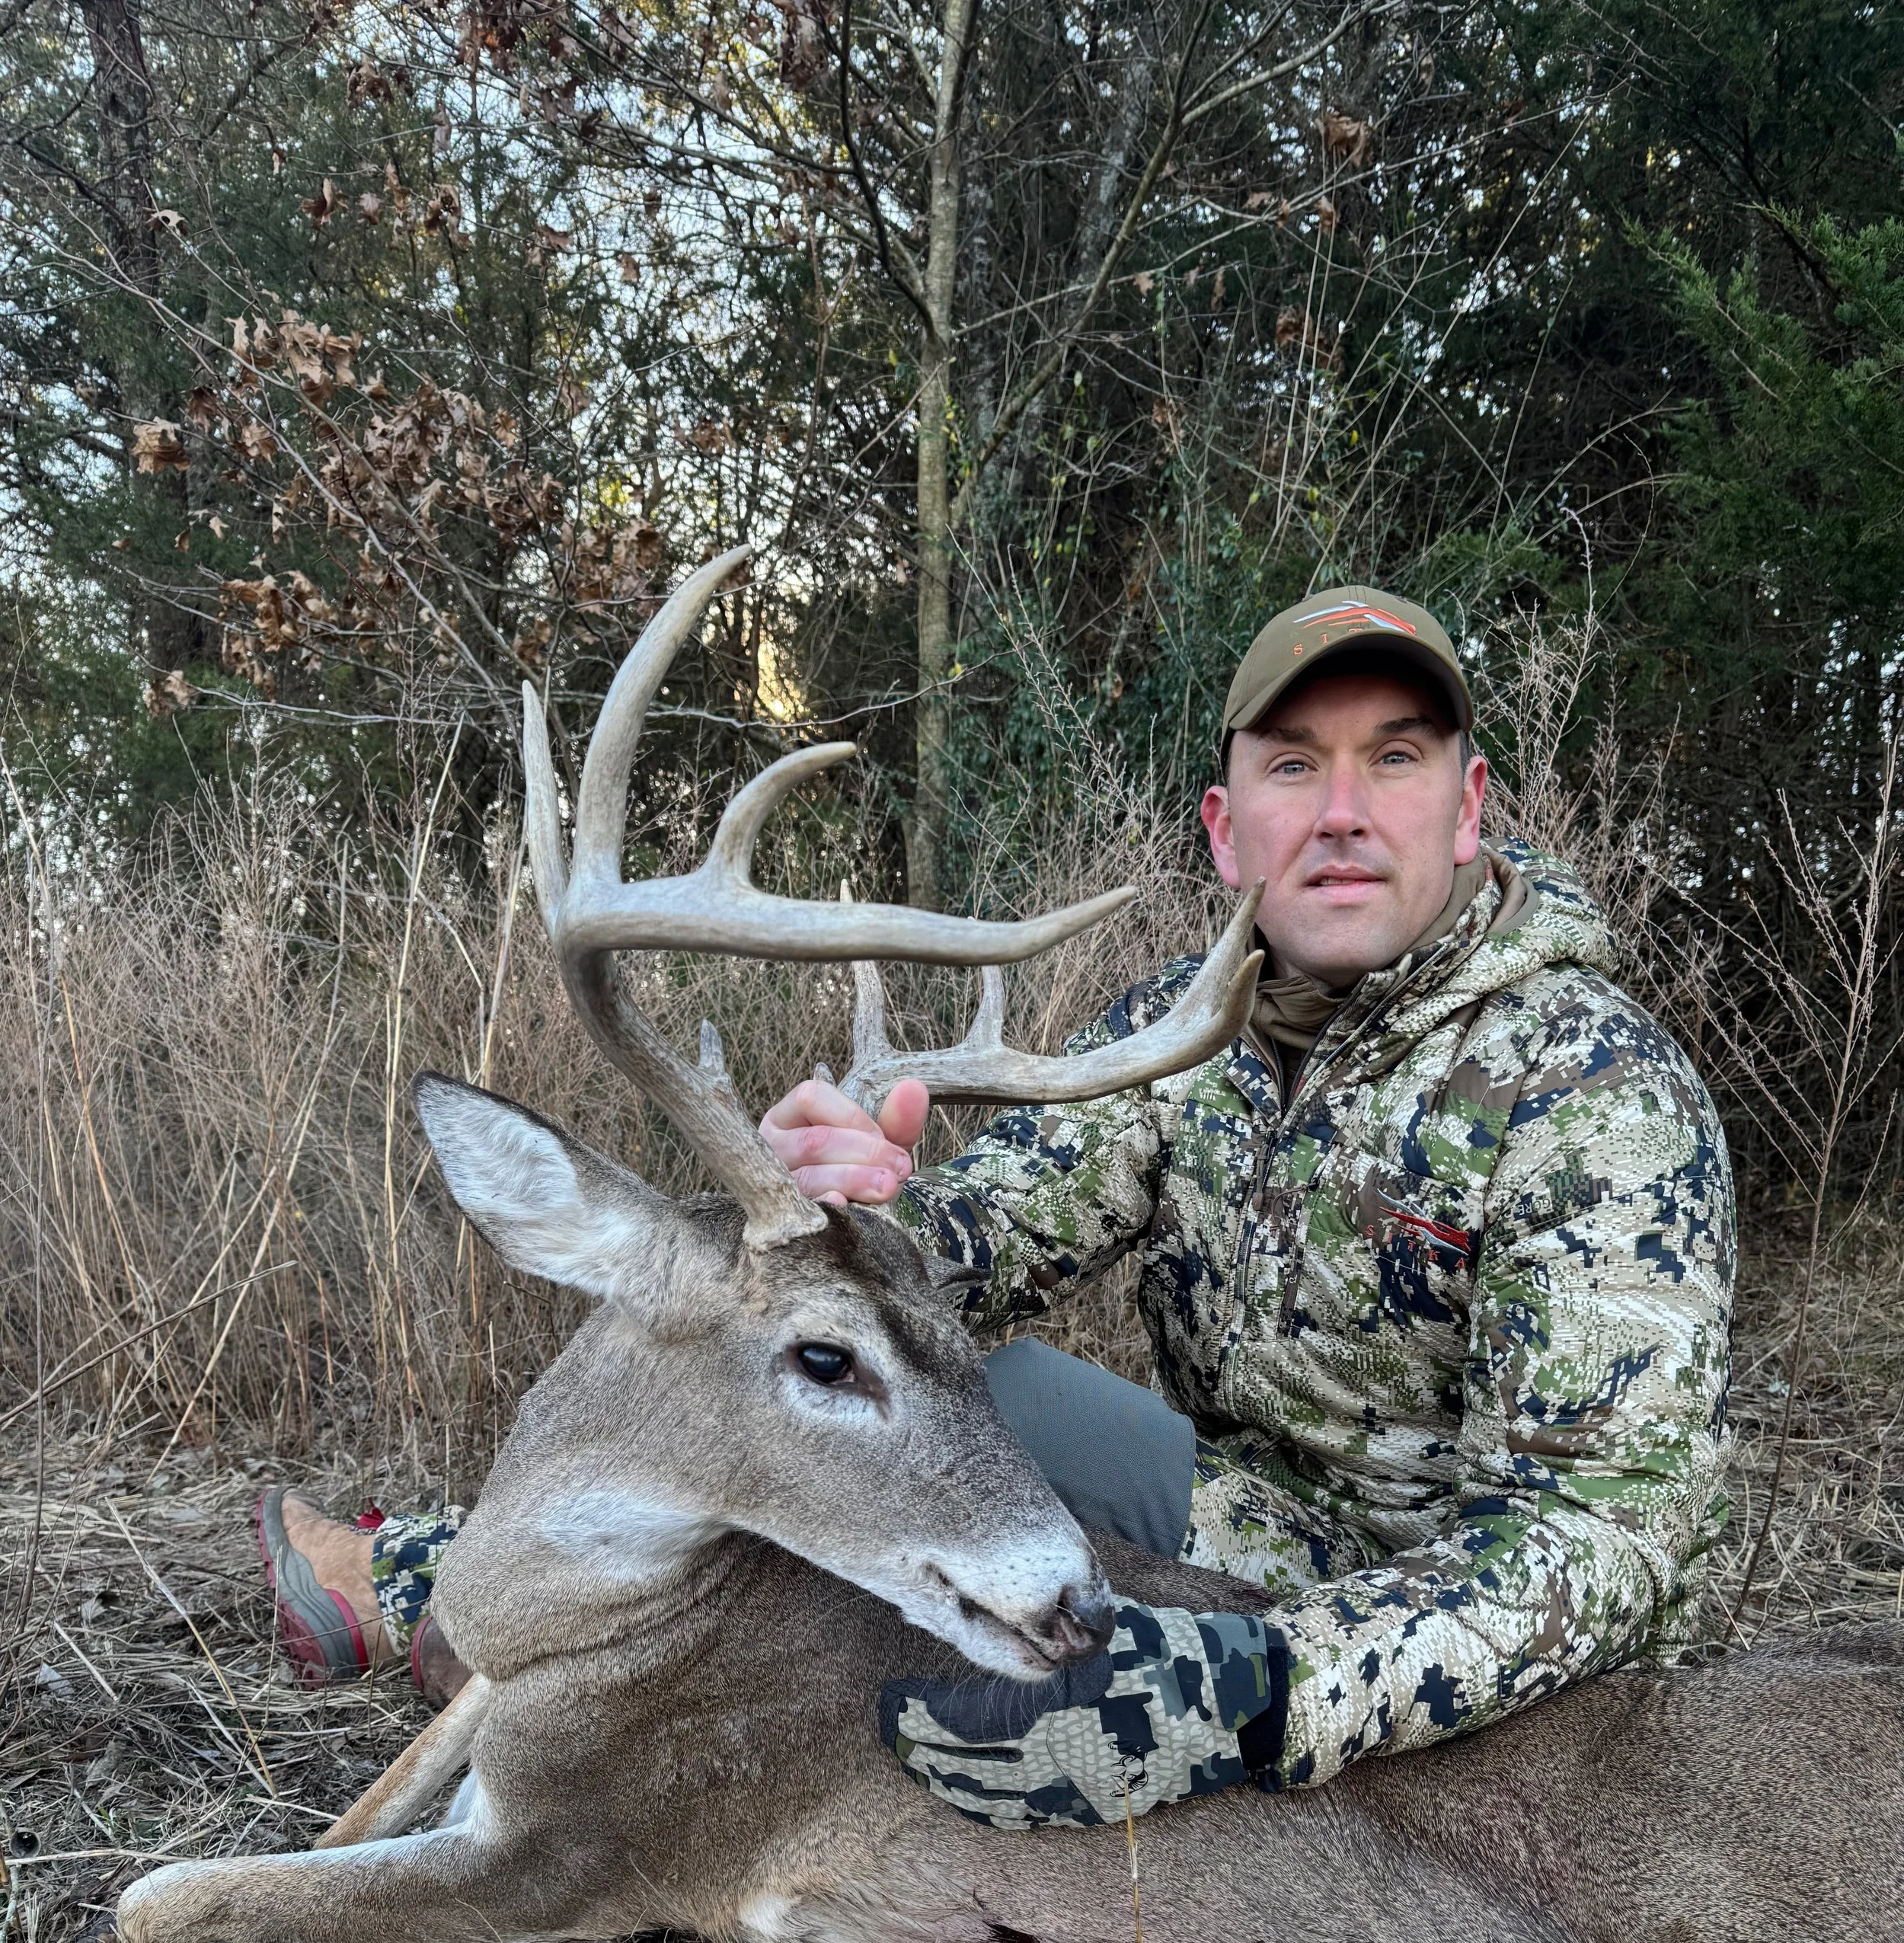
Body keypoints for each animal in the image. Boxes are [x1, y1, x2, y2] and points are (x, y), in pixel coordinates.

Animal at [118, 547, 1904, 1943]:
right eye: (826, 1352)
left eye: (951, 1347)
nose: (1082, 1611)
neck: (561, 1625)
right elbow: (302, 1829)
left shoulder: (595, 1852)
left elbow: (164, 1894)